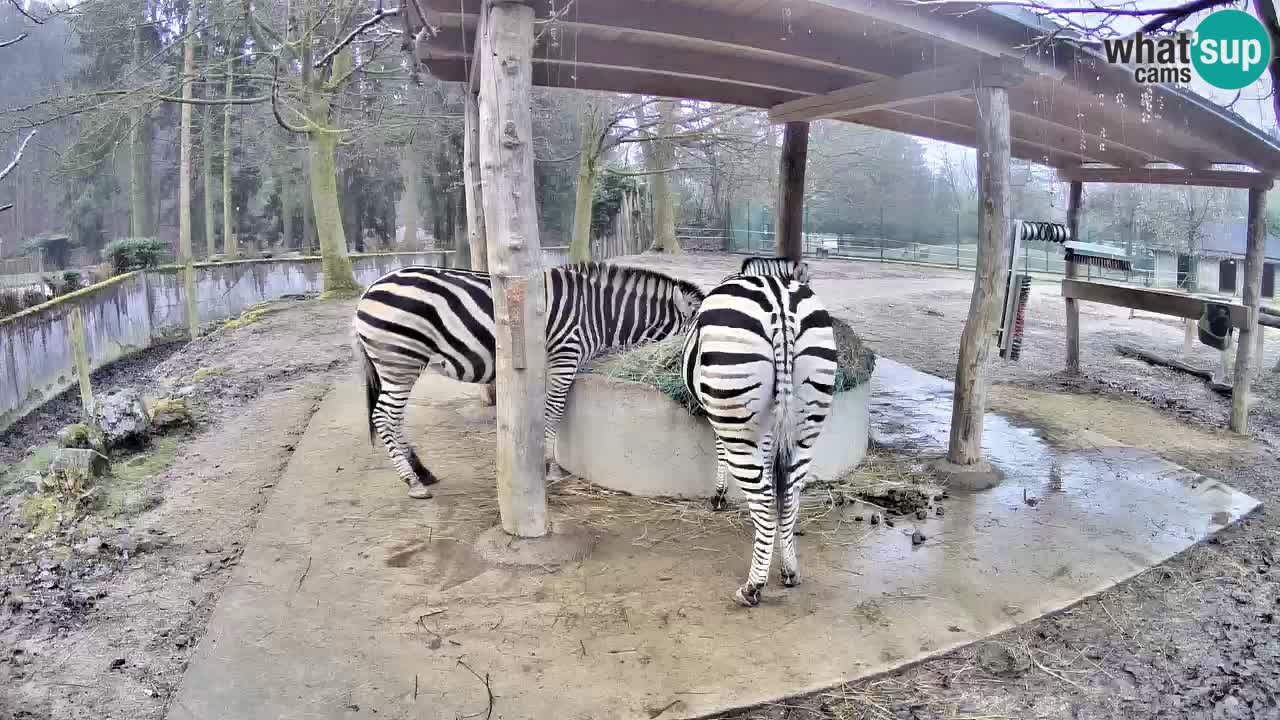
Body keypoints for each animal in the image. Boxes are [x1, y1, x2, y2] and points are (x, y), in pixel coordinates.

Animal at [355, 260, 706, 497]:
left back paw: (422, 471)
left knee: (394, 418)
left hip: (399, 366)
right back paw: (412, 481)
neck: (599, 313)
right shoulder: (564, 357)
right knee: (383, 416)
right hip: (400, 360)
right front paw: (551, 468)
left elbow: (554, 413)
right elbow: (553, 412)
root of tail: (369, 289)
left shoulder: (557, 365)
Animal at [680, 269, 839, 604]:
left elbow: (720, 451)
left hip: (736, 416)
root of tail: (780, 303)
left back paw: (752, 587)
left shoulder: (721, 417)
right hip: (805, 425)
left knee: (766, 506)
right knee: (788, 500)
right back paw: (789, 571)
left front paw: (718, 496)